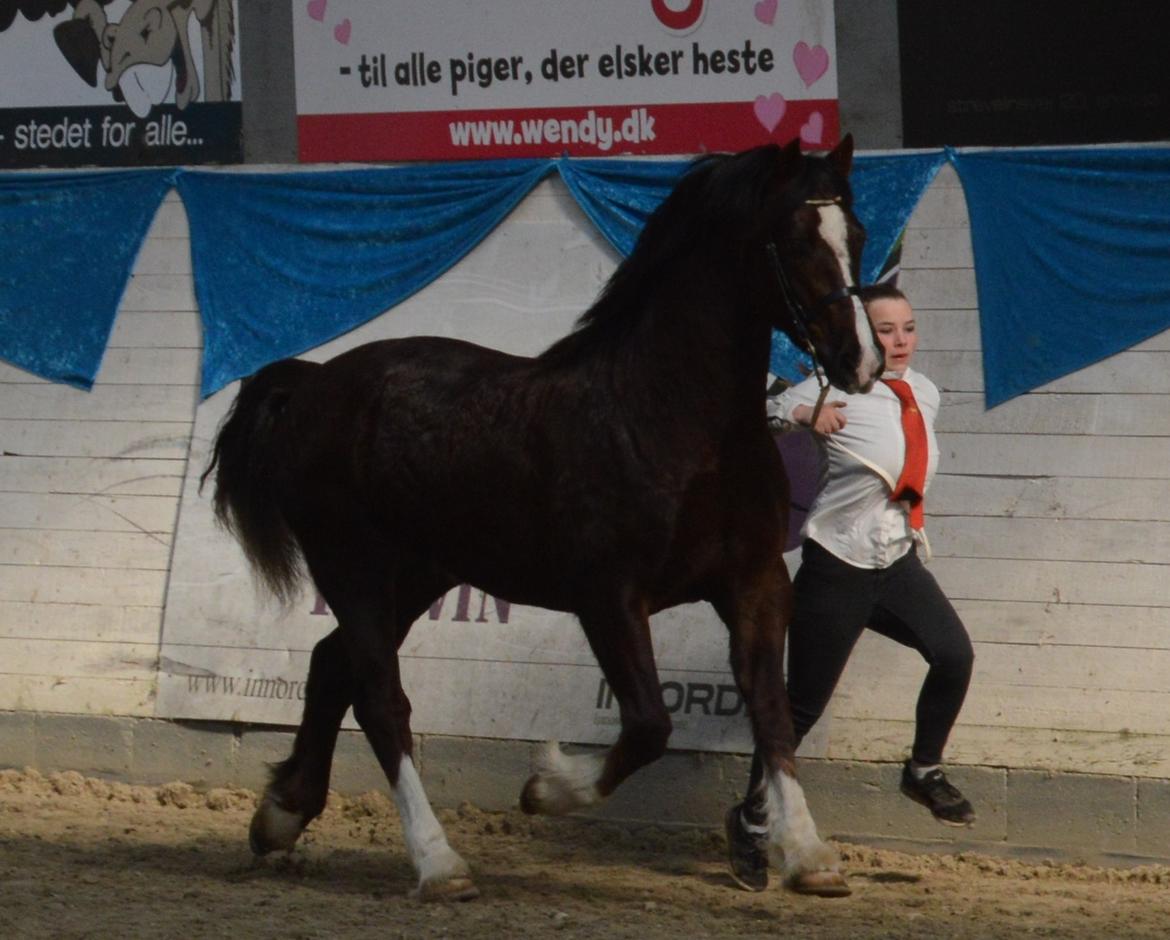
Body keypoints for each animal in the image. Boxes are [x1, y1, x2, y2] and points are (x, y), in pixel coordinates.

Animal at [203, 135, 879, 899]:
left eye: (856, 235)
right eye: (794, 239)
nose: (861, 361)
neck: (676, 421)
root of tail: (313, 384)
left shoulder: (755, 584)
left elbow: (772, 713)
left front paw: (810, 854)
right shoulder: (609, 597)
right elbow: (648, 726)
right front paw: (544, 787)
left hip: (417, 575)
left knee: (330, 665)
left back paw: (281, 815)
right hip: (352, 566)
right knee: (381, 700)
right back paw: (439, 865)